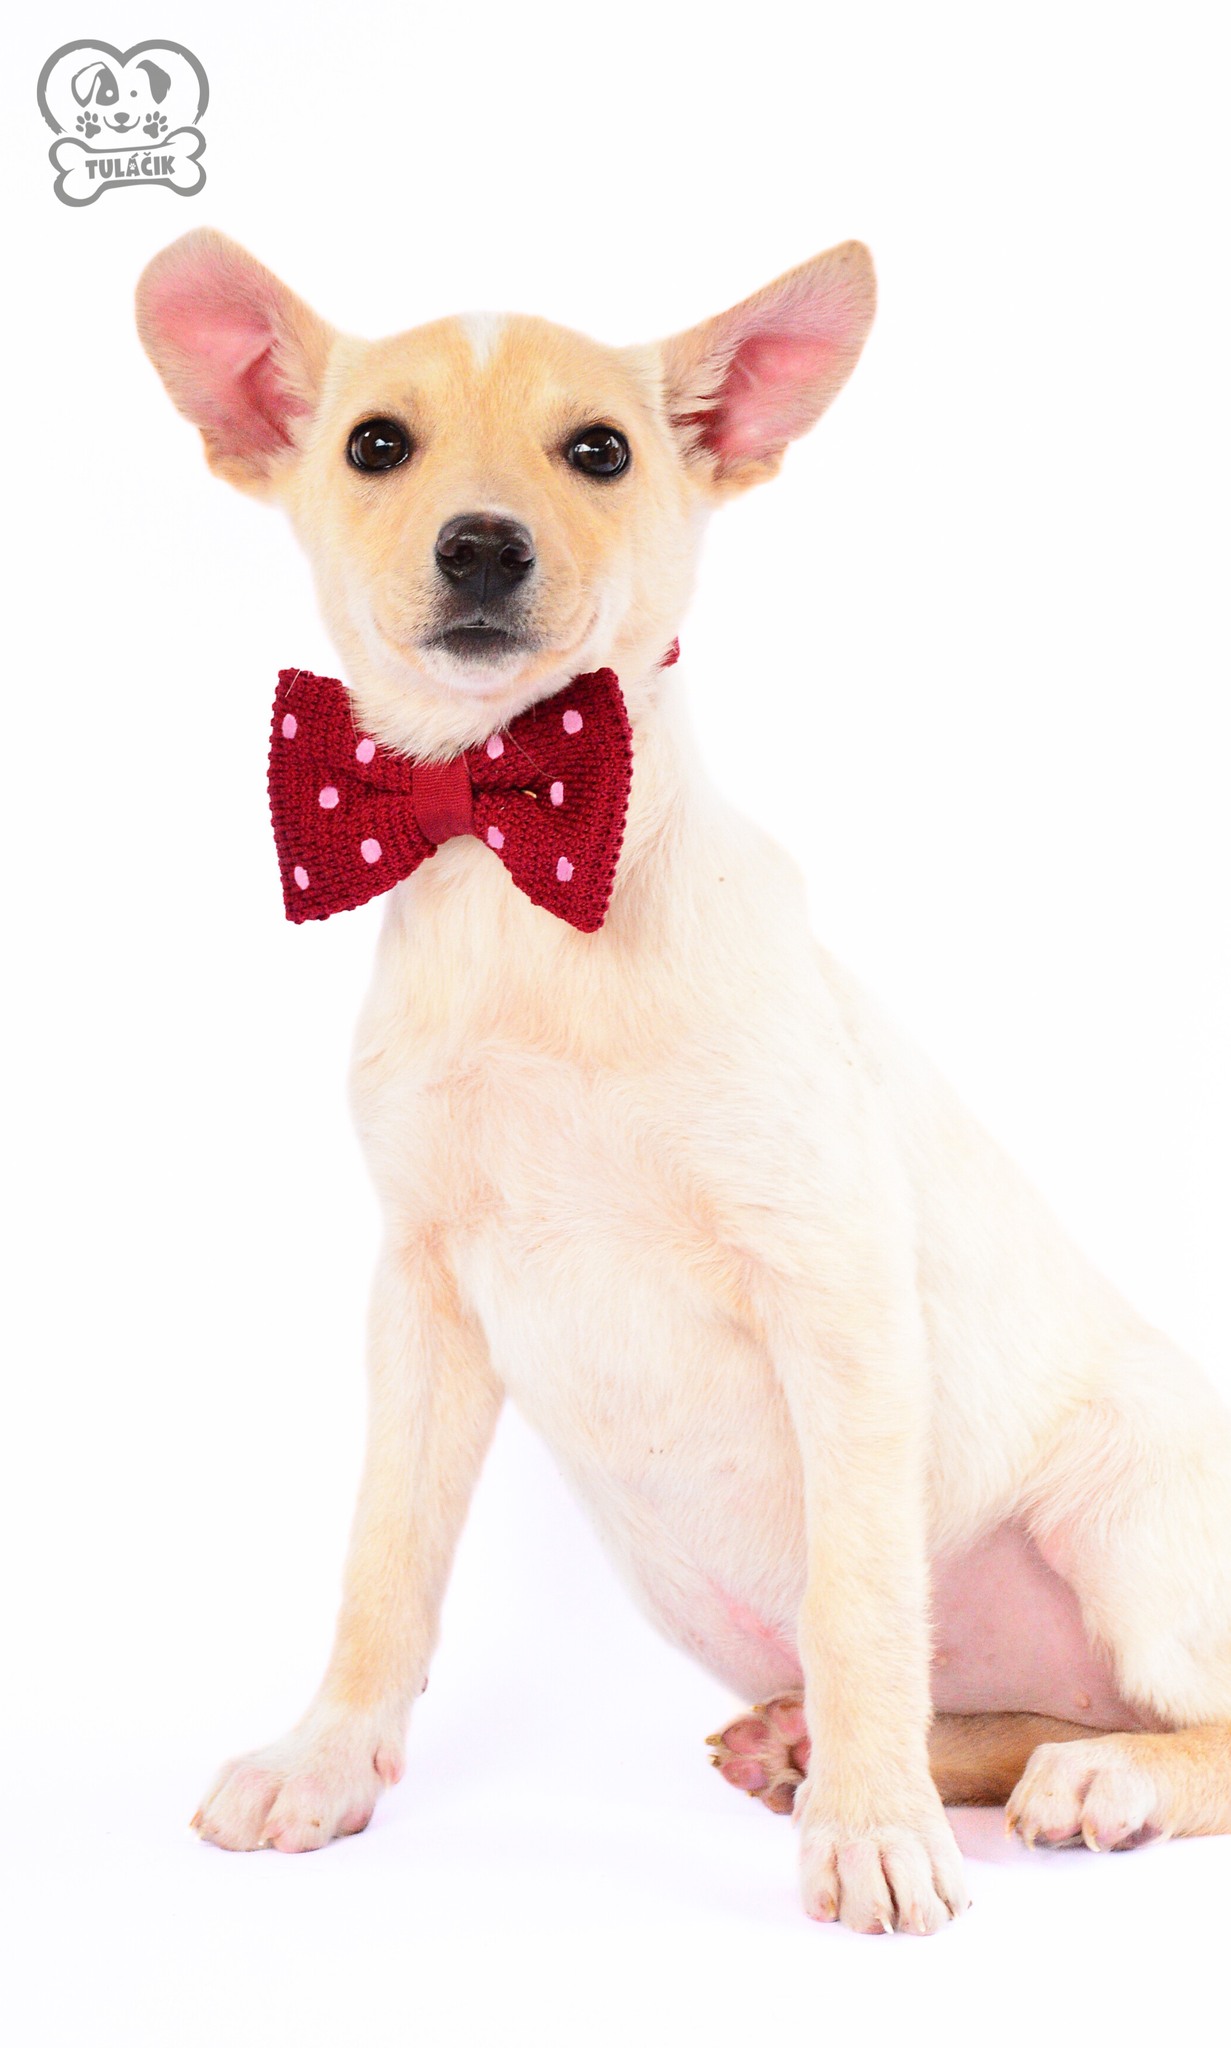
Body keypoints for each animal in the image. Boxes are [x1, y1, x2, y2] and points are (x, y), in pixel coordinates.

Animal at [135, 228, 1231, 1933]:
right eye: (374, 444)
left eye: (599, 451)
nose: (479, 547)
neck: (514, 852)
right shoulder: (421, 1297)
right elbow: (383, 1565)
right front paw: (325, 1761)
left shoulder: (833, 1290)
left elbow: (859, 1603)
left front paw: (869, 1830)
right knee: (995, 1701)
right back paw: (852, 1751)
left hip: (1125, 1524)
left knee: (1177, 1721)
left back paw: (1077, 1779)